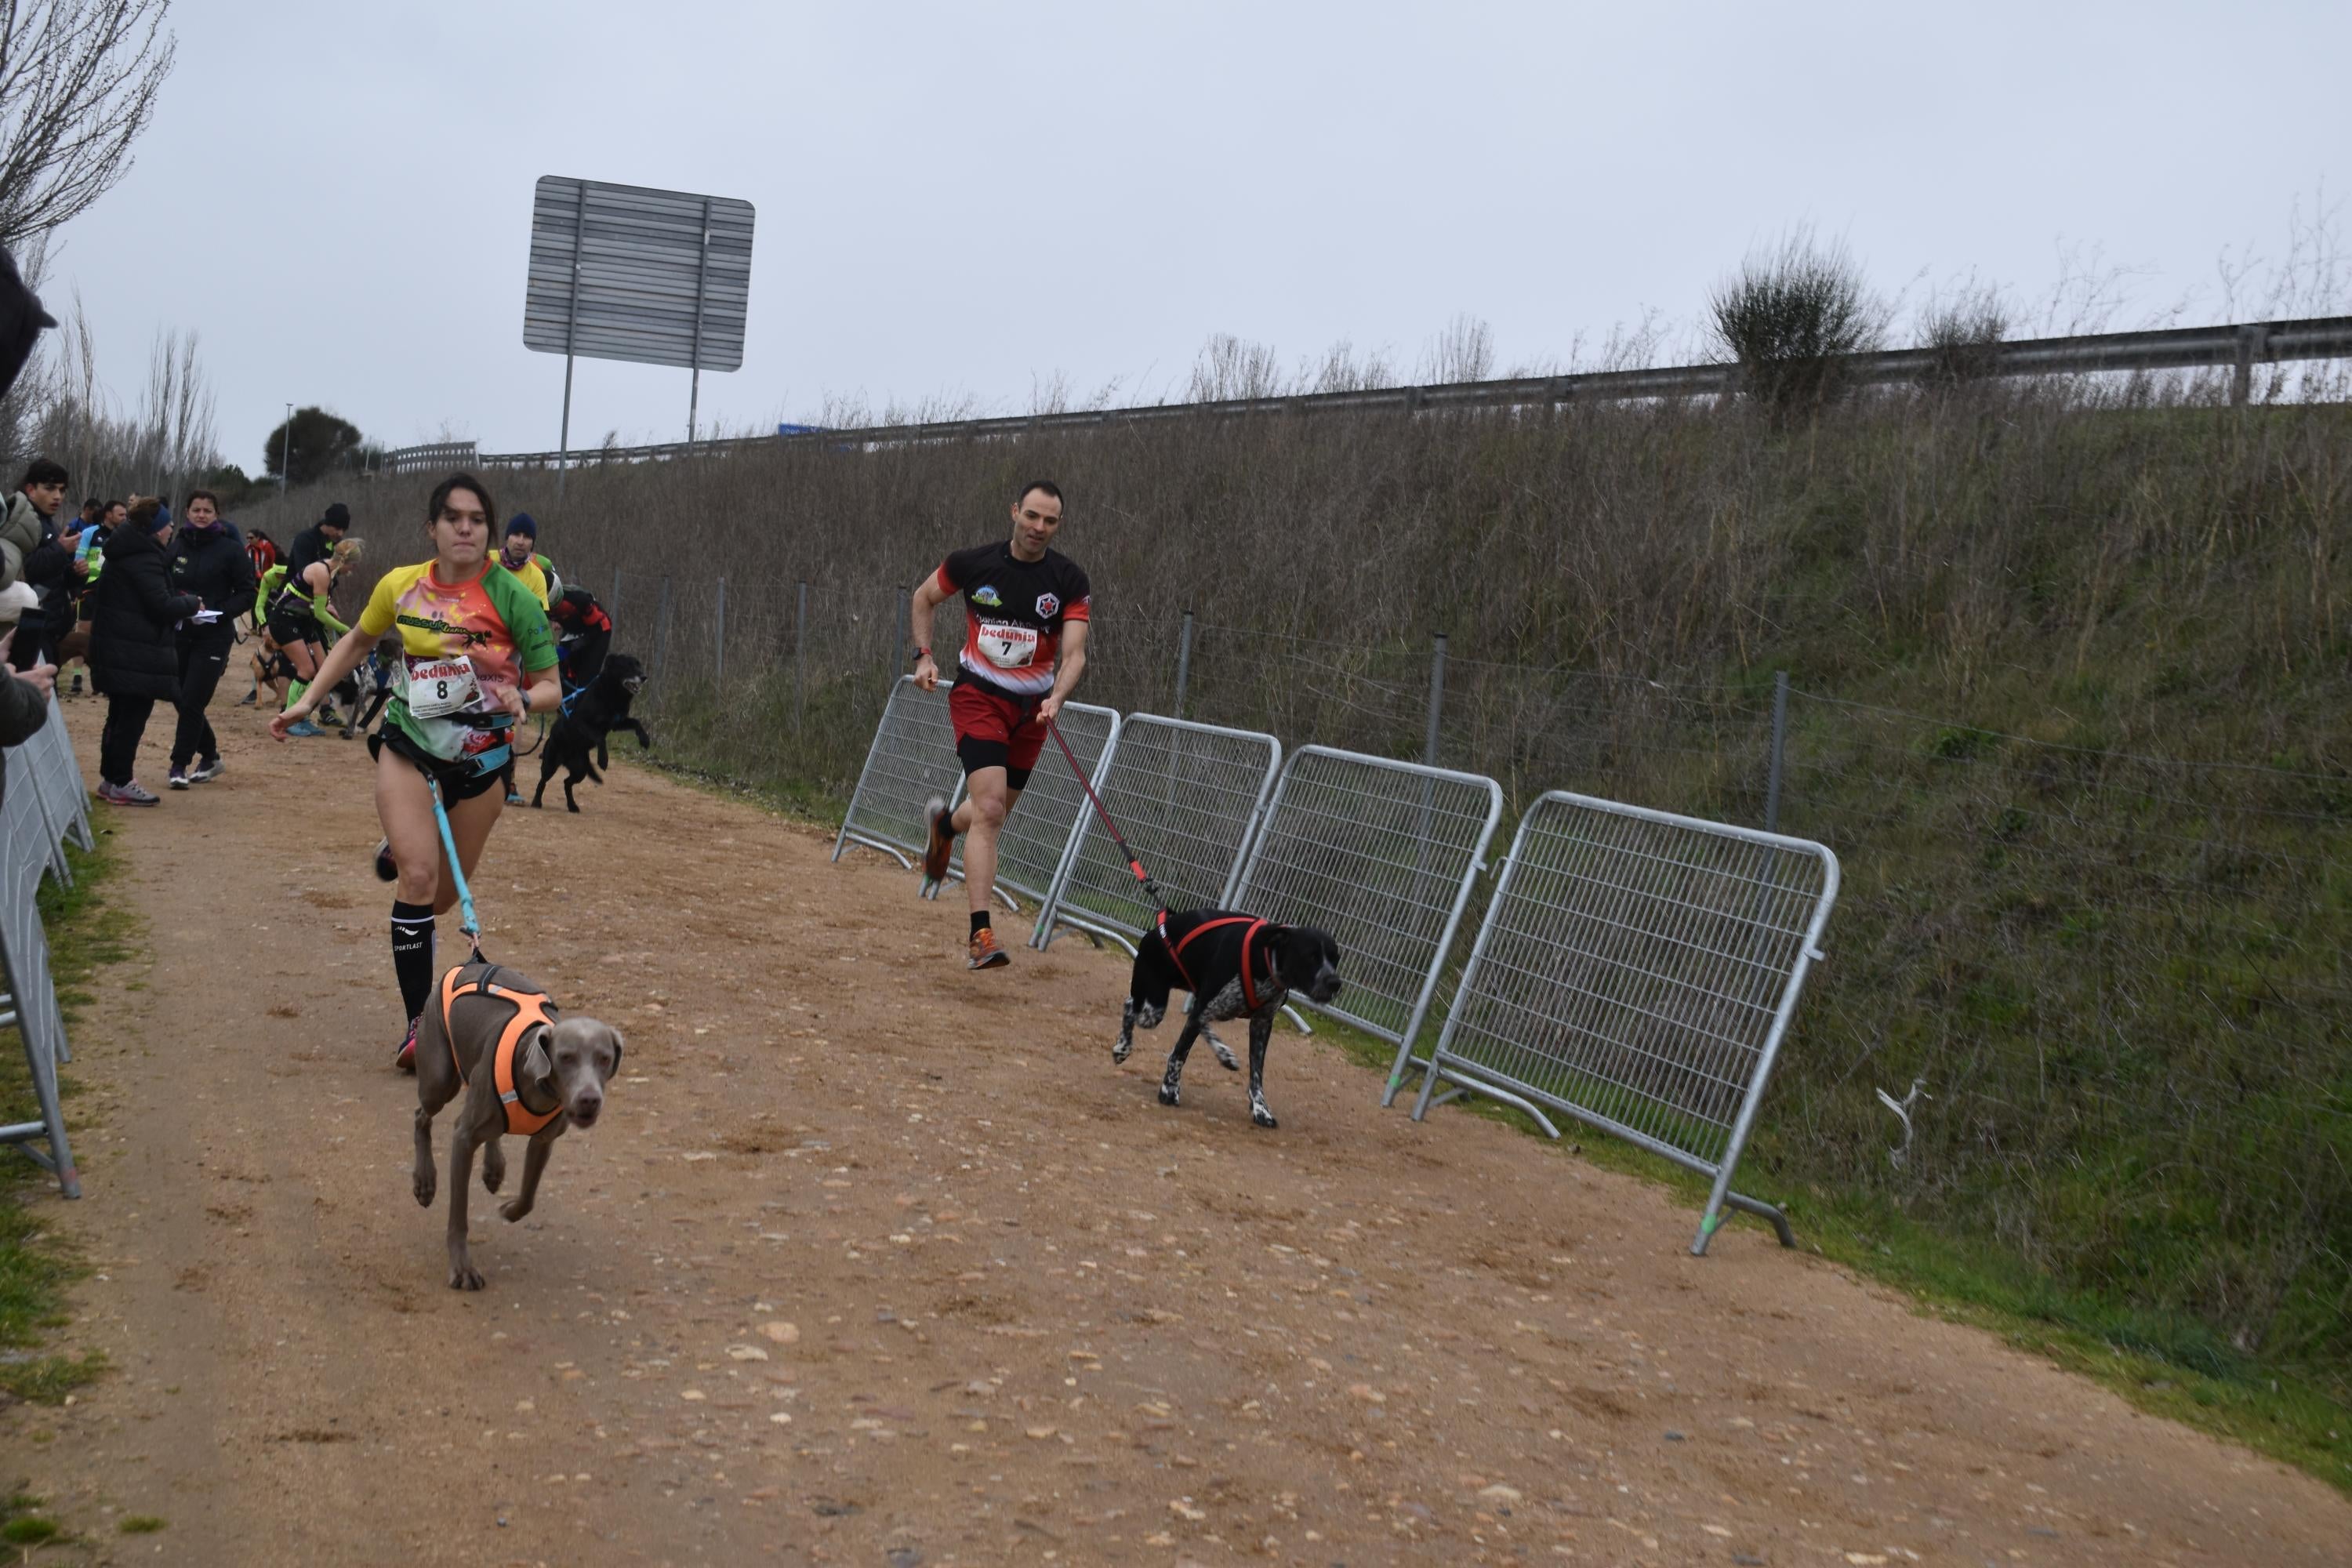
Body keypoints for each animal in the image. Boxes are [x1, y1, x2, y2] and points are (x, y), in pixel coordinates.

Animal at [412, 964, 626, 1298]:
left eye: (604, 1058)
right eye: (566, 1057)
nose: (589, 1099)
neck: (537, 1086)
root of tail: (469, 964)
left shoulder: (544, 1141)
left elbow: (529, 1197)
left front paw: (510, 1210)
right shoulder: (463, 1138)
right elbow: (458, 1216)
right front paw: (462, 1269)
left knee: (489, 1132)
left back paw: (493, 1168)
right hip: (439, 1080)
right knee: (422, 1117)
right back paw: (425, 1182)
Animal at [532, 658, 649, 818]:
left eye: (639, 665)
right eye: (628, 666)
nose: (644, 677)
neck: (611, 694)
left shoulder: (616, 722)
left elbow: (636, 722)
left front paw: (645, 740)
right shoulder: (580, 721)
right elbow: (600, 737)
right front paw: (603, 760)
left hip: (580, 769)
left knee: (567, 782)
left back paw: (572, 806)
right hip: (551, 763)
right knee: (543, 781)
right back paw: (536, 802)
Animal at [1115, 907, 1345, 1128]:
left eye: (1336, 958)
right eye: (1310, 956)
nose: (1335, 982)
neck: (1264, 960)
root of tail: (1158, 930)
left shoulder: (1262, 1025)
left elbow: (1256, 1075)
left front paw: (1261, 1110)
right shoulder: (1206, 1009)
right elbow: (1179, 1055)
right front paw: (1169, 1090)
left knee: (1191, 1018)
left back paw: (1224, 1054)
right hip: (1153, 1008)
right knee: (1130, 1005)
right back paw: (1122, 1047)